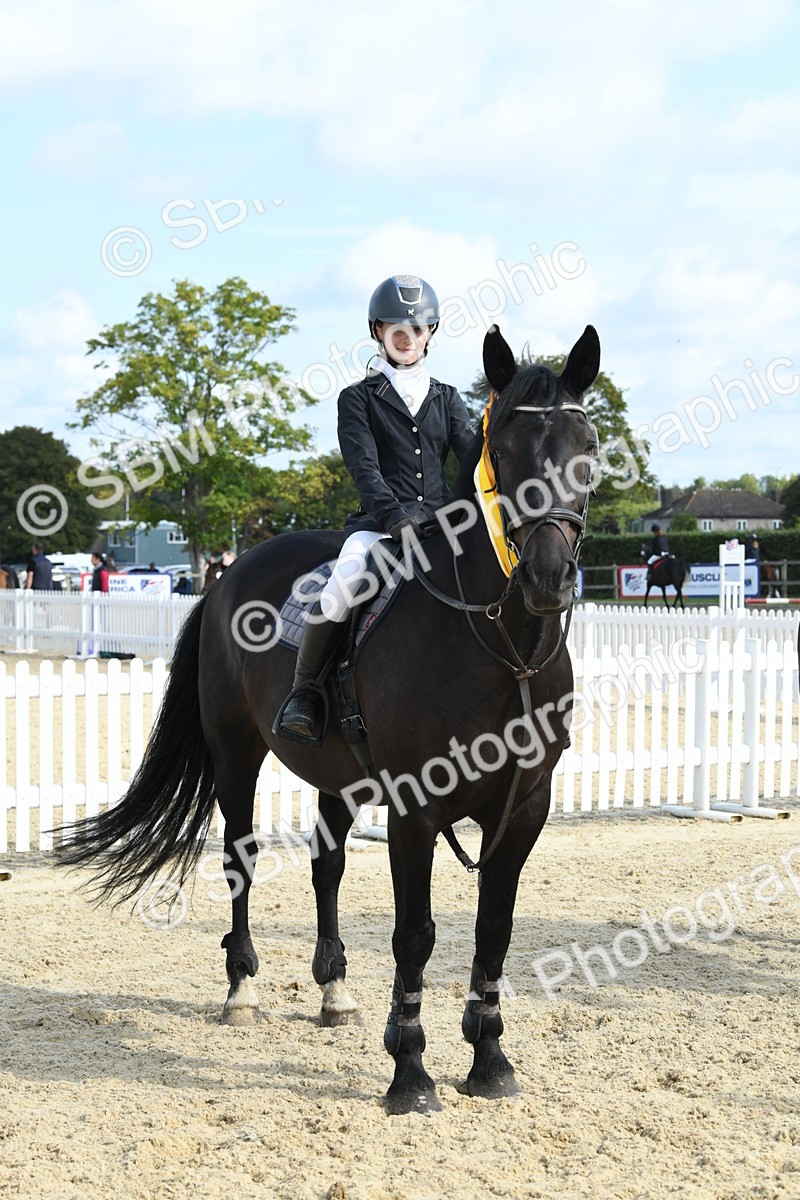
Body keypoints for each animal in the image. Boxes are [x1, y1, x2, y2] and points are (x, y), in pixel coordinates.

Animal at [56, 323, 601, 1115]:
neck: (503, 648)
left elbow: (493, 928)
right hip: (236, 754)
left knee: (327, 864)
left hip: (338, 775)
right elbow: (414, 935)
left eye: (586, 446)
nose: (547, 577)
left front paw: (490, 1059)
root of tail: (228, 574)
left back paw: (335, 991)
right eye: (501, 451)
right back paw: (243, 989)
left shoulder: (525, 805)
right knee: (241, 856)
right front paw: (410, 1073)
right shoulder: (415, 806)